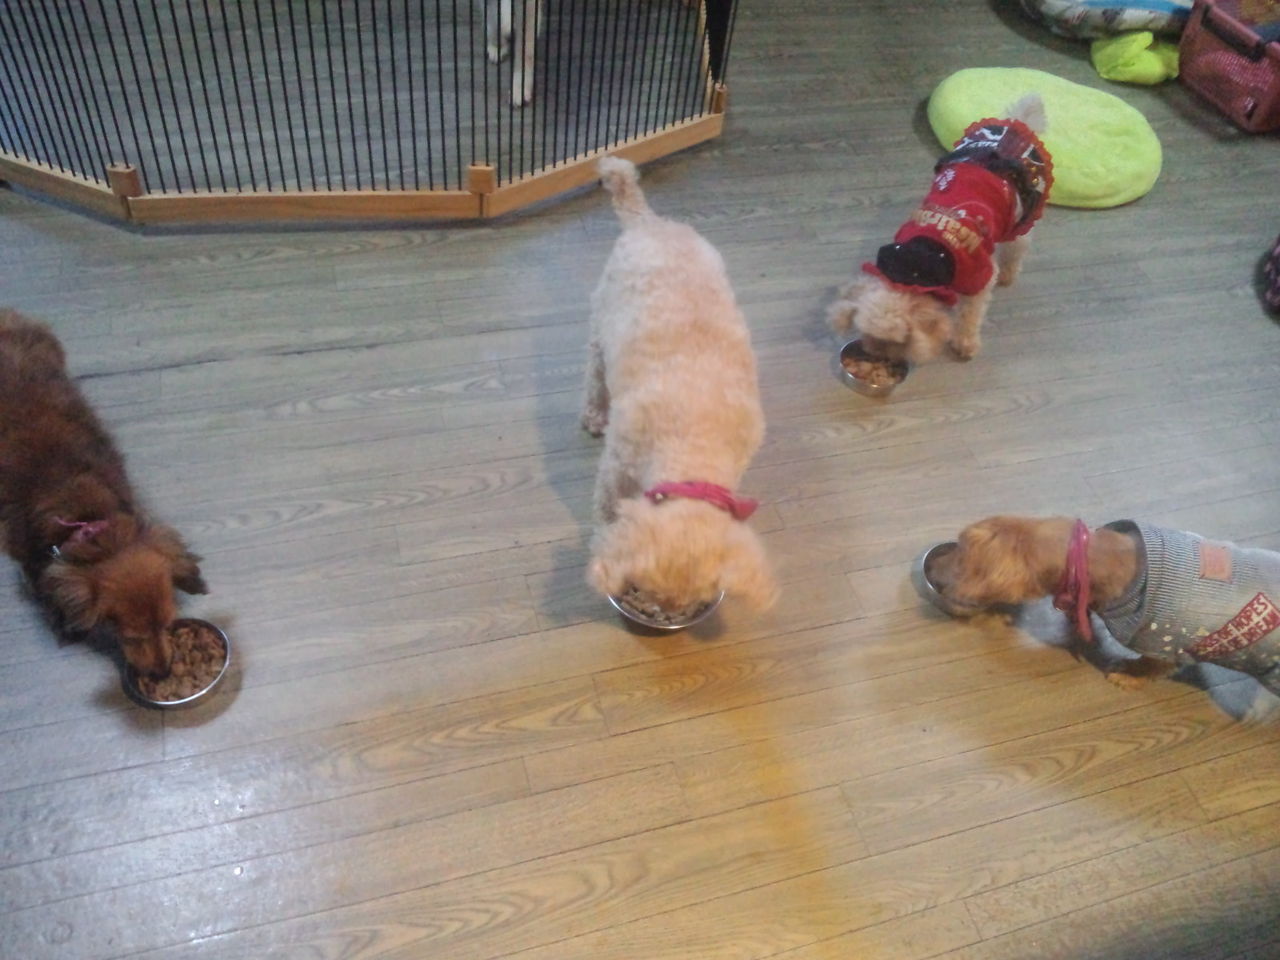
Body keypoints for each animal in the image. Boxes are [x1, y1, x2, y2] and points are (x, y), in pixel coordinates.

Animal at [582, 157, 776, 614]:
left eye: (692, 603)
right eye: (644, 592)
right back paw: (595, 412)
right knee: (595, 371)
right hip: (601, 321)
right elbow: (605, 509)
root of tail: (648, 221)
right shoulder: (616, 466)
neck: (693, 448)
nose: (665, 615)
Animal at [828, 94, 1053, 364]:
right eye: (865, 332)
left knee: (1016, 250)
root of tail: (1017, 124)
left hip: (1020, 221)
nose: (875, 355)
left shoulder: (978, 277)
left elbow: (969, 315)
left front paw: (965, 343)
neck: (919, 260)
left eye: (898, 341)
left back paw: (1008, 275)